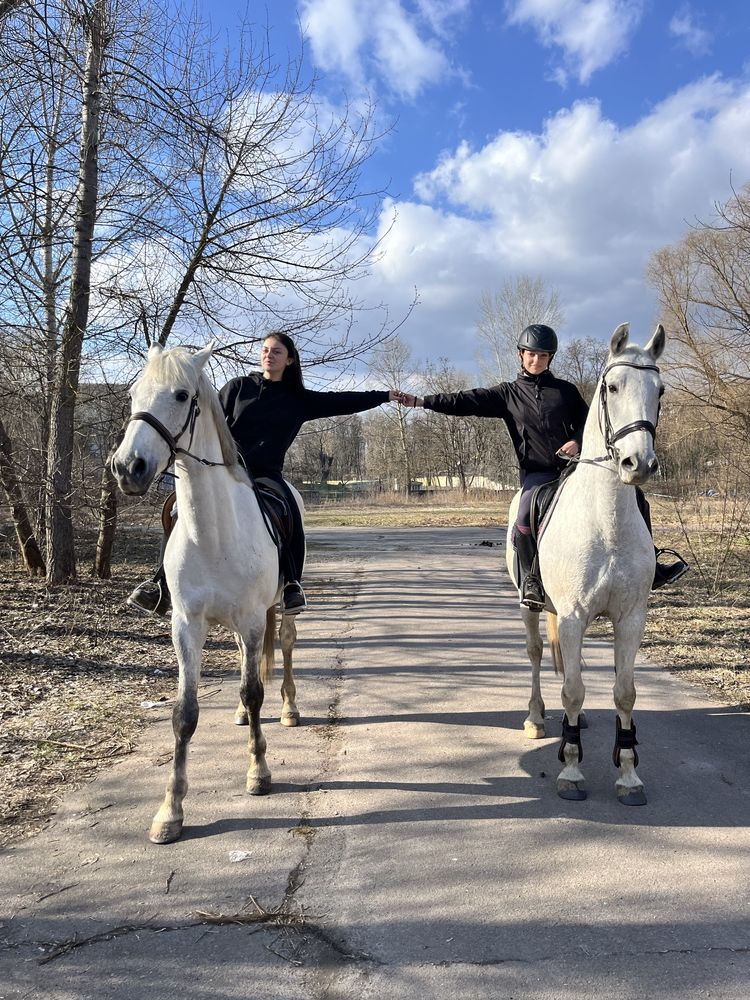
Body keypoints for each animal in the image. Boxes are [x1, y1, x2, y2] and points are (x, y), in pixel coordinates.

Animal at [111, 346, 302, 844]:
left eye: (182, 395)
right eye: (132, 393)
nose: (128, 468)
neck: (212, 533)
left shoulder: (254, 619)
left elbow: (255, 691)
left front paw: (259, 772)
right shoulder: (187, 625)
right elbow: (185, 713)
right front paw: (170, 811)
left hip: (281, 608)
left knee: (285, 646)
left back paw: (290, 708)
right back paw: (237, 713)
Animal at [508, 324, 668, 808]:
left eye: (660, 391)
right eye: (612, 387)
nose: (639, 464)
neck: (605, 520)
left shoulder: (630, 618)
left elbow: (624, 693)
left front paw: (629, 774)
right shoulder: (575, 616)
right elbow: (575, 690)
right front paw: (572, 769)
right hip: (529, 608)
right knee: (537, 655)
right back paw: (537, 717)